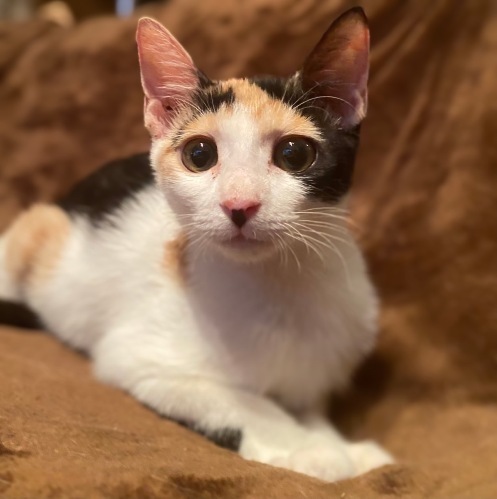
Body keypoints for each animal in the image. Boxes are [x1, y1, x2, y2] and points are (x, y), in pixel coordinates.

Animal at [0, 7, 393, 482]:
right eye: (200, 155)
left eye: (295, 154)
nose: (239, 204)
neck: (280, 285)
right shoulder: (136, 358)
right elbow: (248, 403)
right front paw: (312, 451)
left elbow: (308, 407)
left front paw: (342, 445)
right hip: (36, 232)